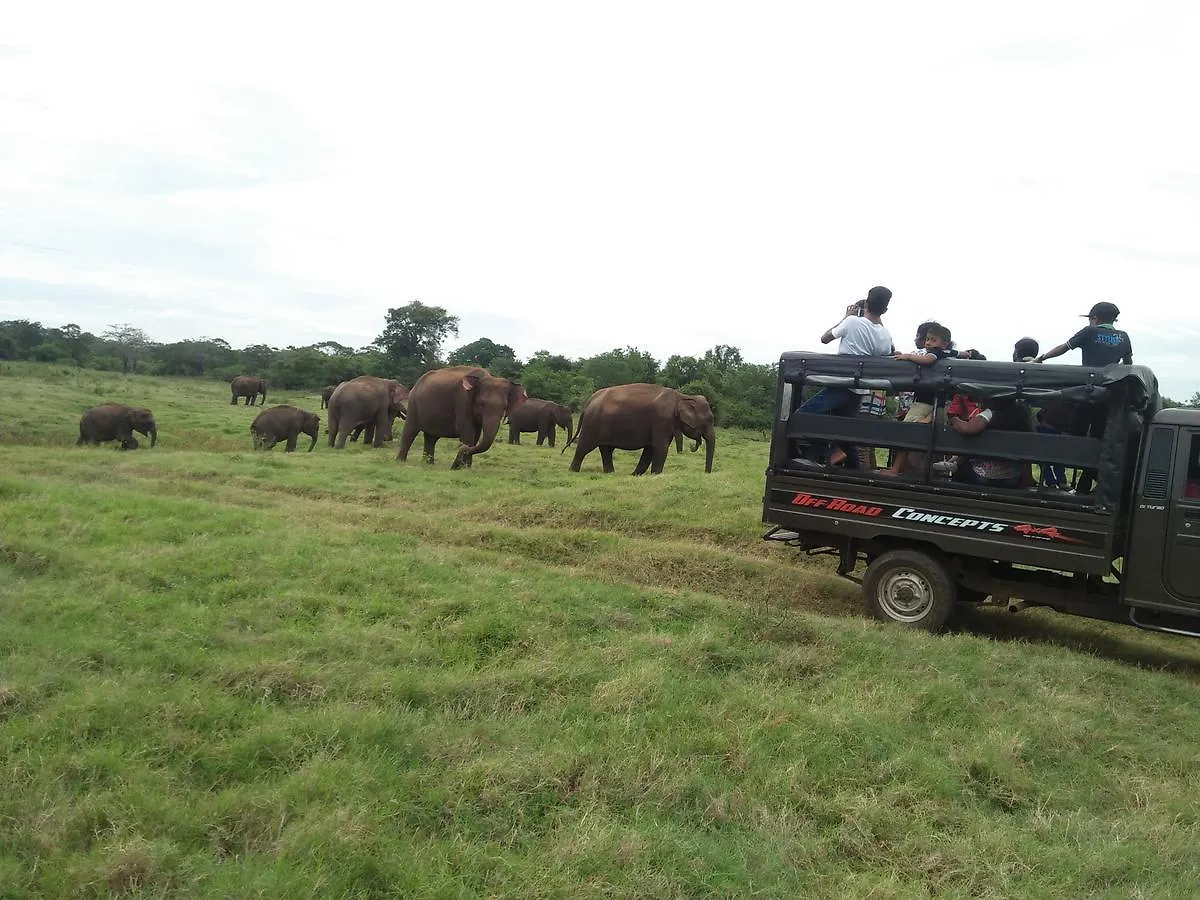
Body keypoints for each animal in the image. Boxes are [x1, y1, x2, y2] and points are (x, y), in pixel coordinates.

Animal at [564, 384, 710, 475]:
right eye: (707, 422)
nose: (706, 473)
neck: (681, 396)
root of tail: (589, 402)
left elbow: (650, 450)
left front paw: (635, 475)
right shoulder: (662, 421)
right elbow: (660, 448)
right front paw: (656, 474)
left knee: (606, 449)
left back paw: (610, 473)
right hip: (592, 423)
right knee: (584, 447)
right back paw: (572, 471)